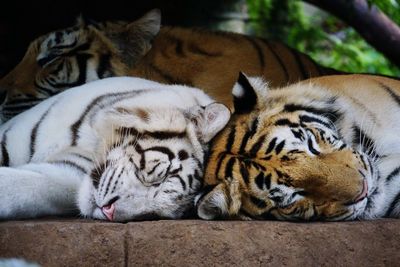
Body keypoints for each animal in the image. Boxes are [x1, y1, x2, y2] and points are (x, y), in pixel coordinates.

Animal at [0, 76, 230, 222]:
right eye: (160, 176)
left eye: (155, 214)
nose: (109, 212)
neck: (93, 139)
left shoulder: (68, 171)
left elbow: (27, 185)